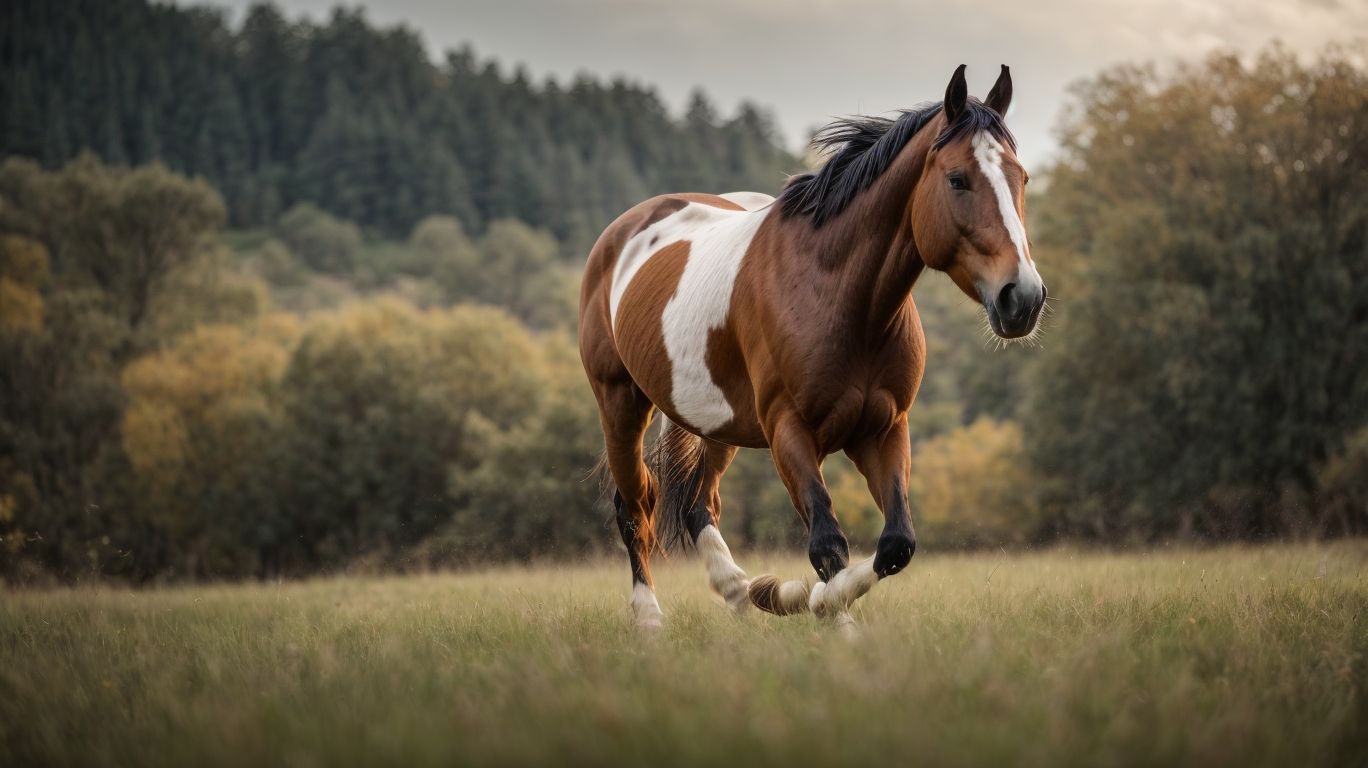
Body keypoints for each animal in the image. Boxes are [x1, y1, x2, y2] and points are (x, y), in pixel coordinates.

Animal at [578, 64, 1045, 628]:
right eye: (958, 179)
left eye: (1022, 178)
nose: (1023, 298)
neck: (836, 294)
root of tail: (623, 232)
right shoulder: (789, 431)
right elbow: (827, 543)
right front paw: (821, 611)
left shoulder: (884, 428)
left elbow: (897, 543)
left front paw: (787, 596)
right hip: (621, 403)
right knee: (634, 505)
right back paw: (651, 620)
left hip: (715, 423)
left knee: (695, 503)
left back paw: (743, 595)